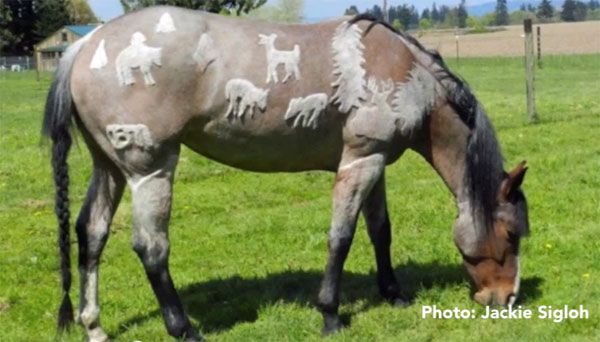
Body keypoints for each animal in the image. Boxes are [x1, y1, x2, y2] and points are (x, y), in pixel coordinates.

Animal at [43, 8, 528, 342]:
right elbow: (341, 237)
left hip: (109, 167)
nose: (506, 299)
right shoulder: (360, 163)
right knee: (151, 248)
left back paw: (94, 325)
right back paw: (183, 328)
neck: (402, 71)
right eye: (510, 234)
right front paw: (330, 314)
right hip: (150, 170)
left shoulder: (372, 161)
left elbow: (380, 231)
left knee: (91, 234)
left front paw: (394, 293)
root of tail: (84, 46)